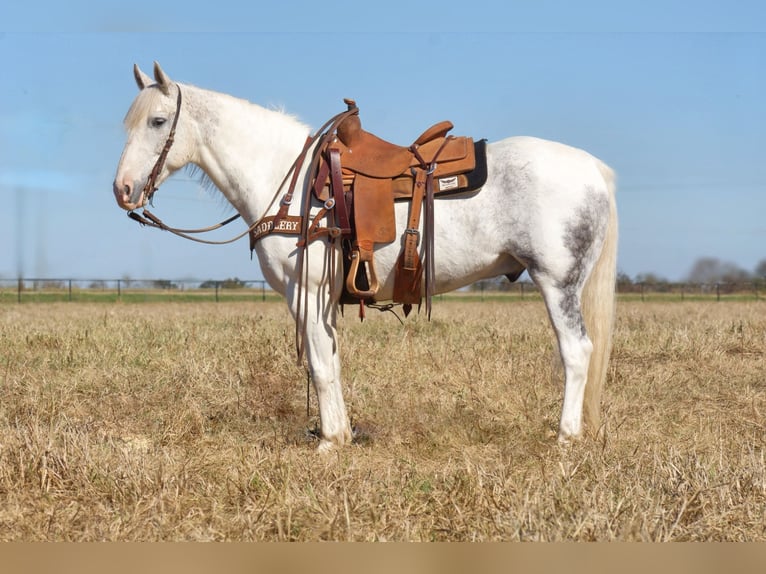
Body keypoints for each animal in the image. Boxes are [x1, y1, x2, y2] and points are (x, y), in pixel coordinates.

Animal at [112, 62, 616, 454]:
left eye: (158, 121)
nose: (123, 189)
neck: (287, 181)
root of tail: (594, 168)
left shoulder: (307, 291)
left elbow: (320, 366)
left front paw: (329, 442)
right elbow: (330, 363)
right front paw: (341, 434)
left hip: (557, 283)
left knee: (577, 351)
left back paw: (566, 437)